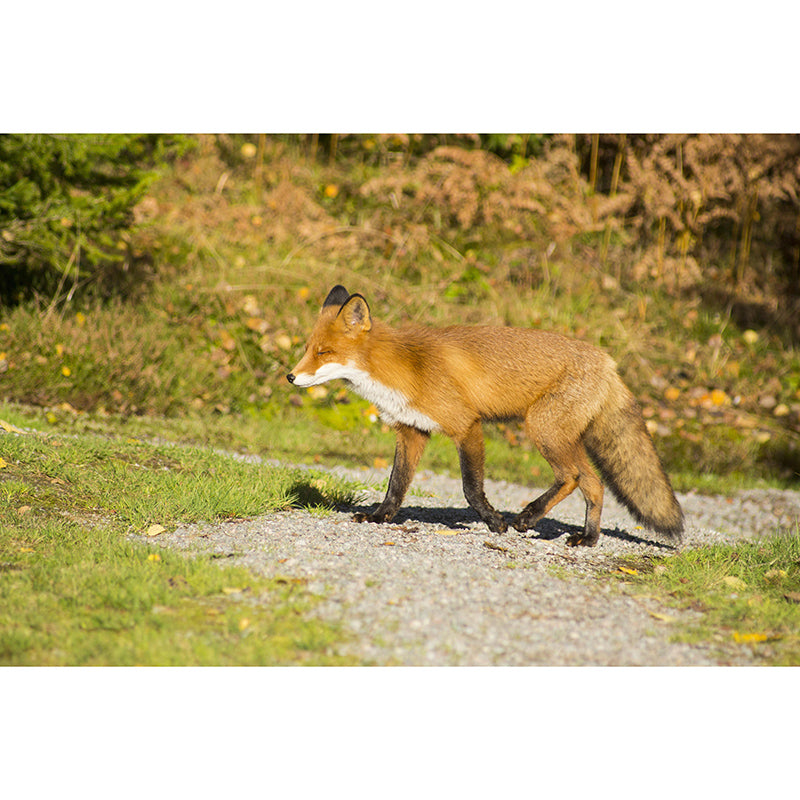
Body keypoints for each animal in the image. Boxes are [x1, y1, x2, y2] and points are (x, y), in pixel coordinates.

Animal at [287, 285, 684, 547]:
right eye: (307, 349)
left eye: (324, 352)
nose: (290, 376)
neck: (404, 369)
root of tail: (608, 361)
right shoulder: (412, 431)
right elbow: (396, 485)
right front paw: (380, 517)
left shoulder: (467, 425)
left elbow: (471, 488)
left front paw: (495, 522)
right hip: (561, 436)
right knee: (595, 484)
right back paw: (588, 537)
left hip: (542, 429)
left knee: (572, 477)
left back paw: (527, 518)